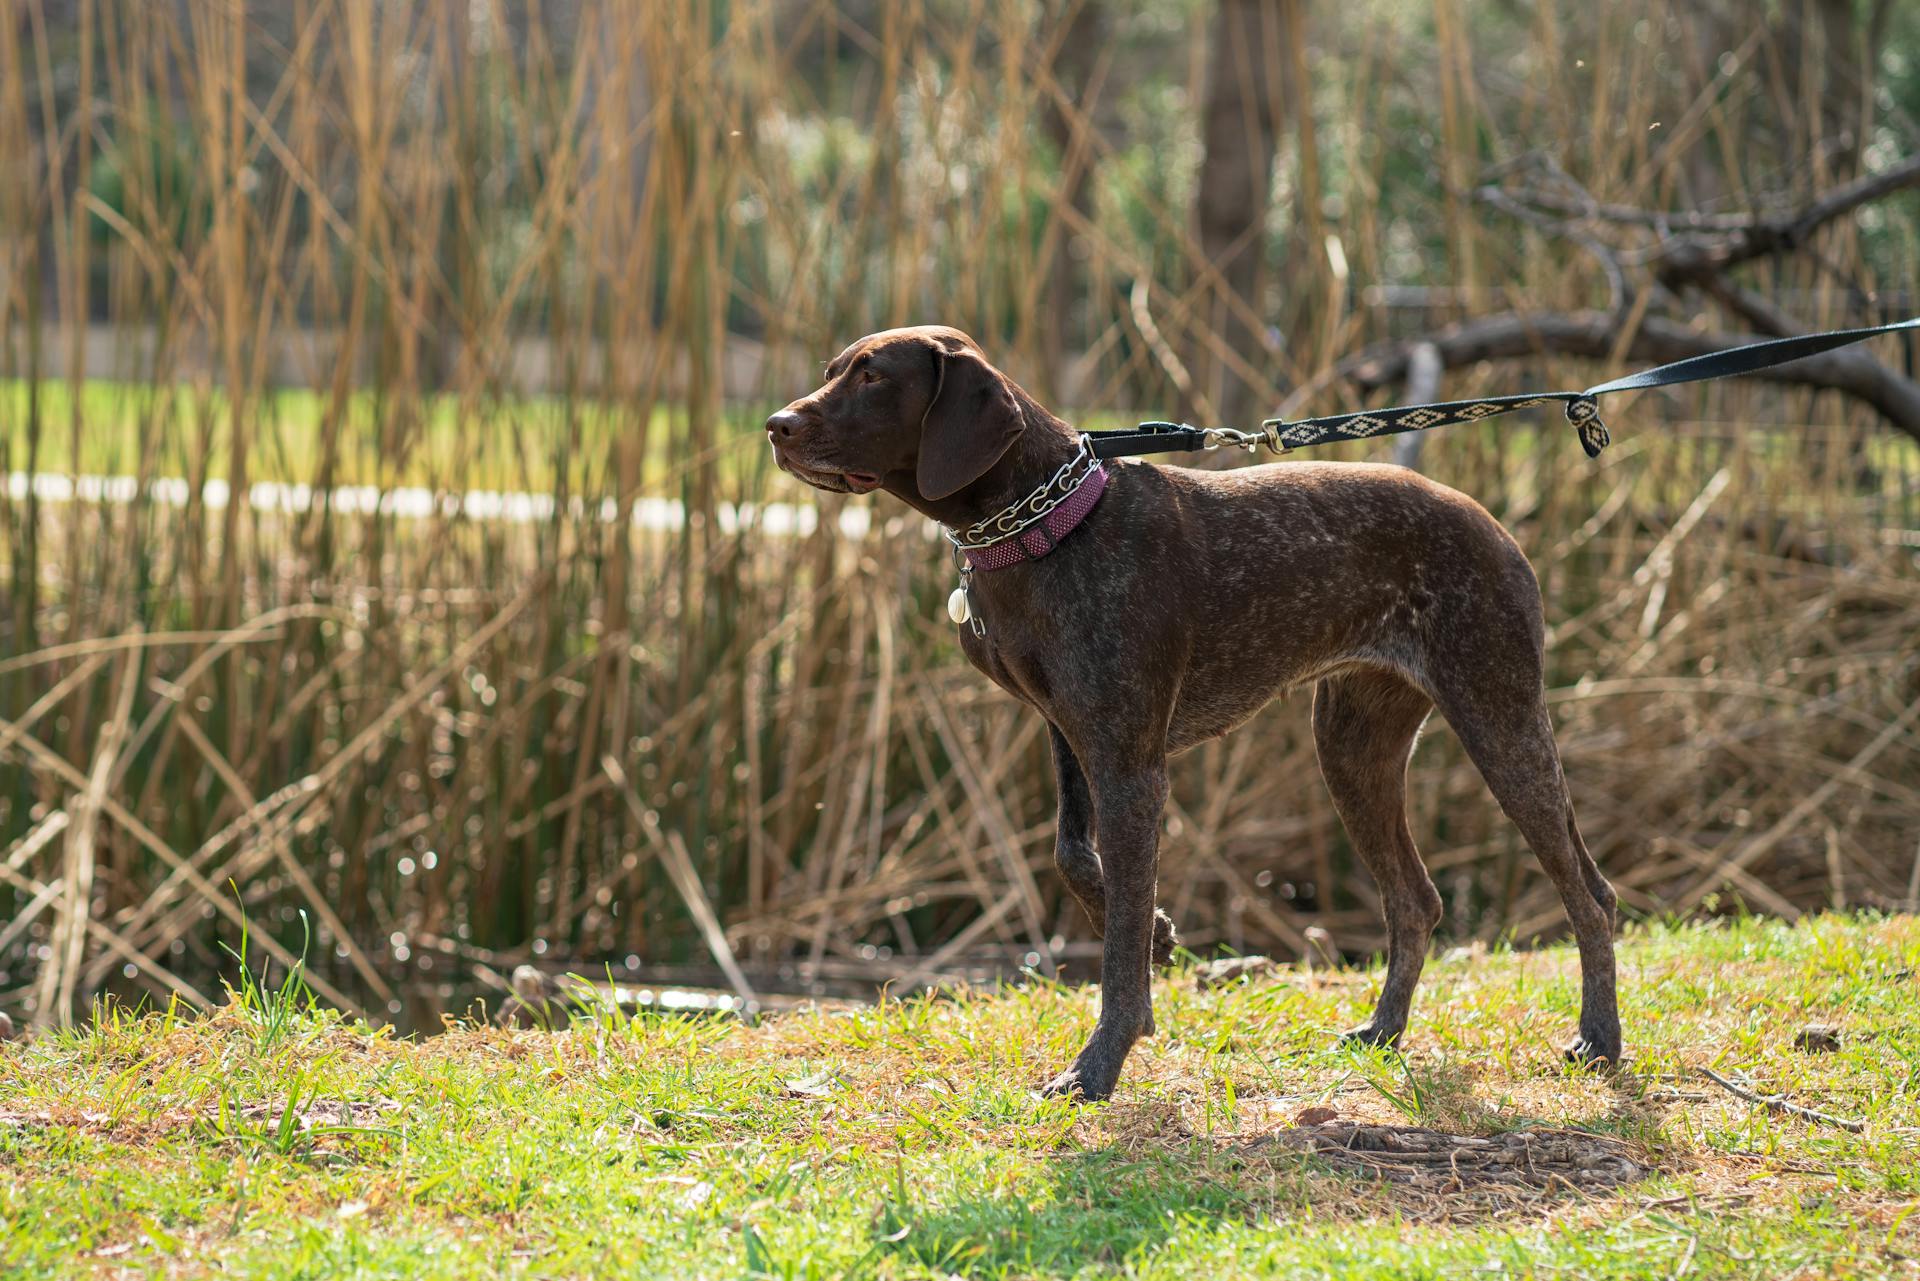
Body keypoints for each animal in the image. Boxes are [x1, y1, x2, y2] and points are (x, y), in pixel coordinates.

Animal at [768, 326, 1620, 1098]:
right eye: (833, 369)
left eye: (874, 376)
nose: (776, 425)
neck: (1045, 522)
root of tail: (1496, 526)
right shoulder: (1074, 738)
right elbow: (1074, 859)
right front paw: (1159, 933)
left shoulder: (1131, 768)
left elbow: (1116, 953)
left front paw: (1098, 1063)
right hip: (1351, 748)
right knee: (1417, 900)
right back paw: (1383, 1030)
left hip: (1498, 721)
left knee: (1590, 898)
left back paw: (1599, 1040)